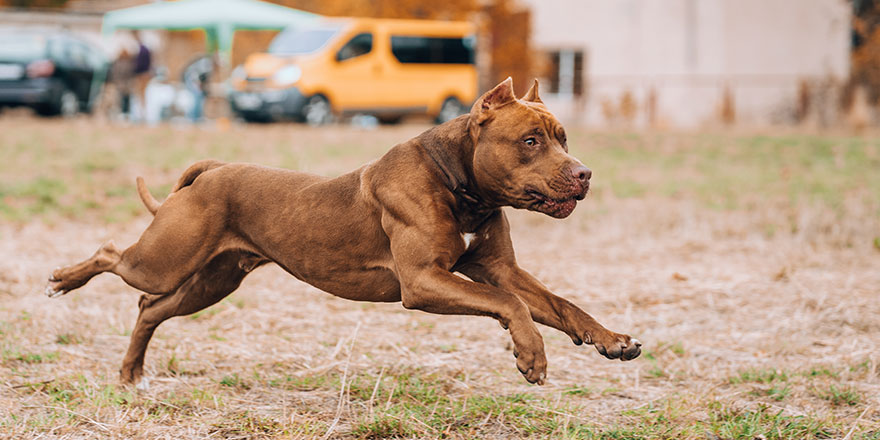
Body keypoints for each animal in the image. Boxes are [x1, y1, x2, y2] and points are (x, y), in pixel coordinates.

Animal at [44, 78, 640, 384]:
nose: (584, 173)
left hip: (211, 280)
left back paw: (131, 373)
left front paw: (610, 340)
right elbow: (511, 306)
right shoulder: (424, 282)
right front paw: (530, 355)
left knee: (150, 309)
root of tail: (212, 171)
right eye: (531, 141)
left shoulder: (501, 270)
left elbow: (559, 304)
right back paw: (64, 280)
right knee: (111, 256)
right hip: (164, 259)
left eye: (563, 138)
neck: (461, 184)